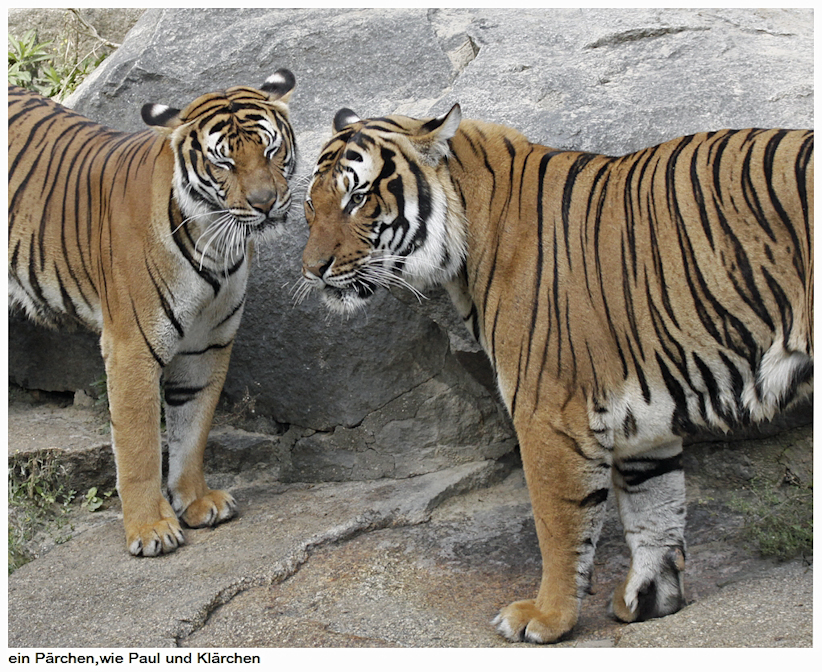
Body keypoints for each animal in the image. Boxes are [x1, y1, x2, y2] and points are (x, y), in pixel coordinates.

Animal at [8, 70, 297, 557]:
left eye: (272, 150)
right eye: (224, 163)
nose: (265, 203)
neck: (215, 244)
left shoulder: (207, 344)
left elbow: (192, 427)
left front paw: (197, 501)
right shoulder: (132, 348)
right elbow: (139, 442)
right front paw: (150, 529)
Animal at [299, 105, 813, 643]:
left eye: (358, 198)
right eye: (311, 205)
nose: (312, 269)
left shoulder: (548, 411)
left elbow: (558, 522)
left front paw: (545, 617)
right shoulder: (648, 417)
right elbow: (655, 506)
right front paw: (650, 599)